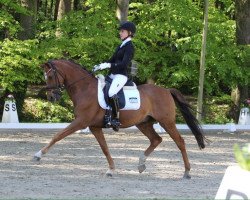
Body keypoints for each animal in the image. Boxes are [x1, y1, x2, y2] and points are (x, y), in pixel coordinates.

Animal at [34, 59, 207, 178]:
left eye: (50, 76)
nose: (51, 97)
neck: (84, 89)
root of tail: (166, 90)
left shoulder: (81, 122)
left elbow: (58, 136)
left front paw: (38, 155)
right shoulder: (94, 127)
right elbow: (104, 148)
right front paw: (111, 170)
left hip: (167, 122)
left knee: (180, 142)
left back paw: (187, 172)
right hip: (144, 123)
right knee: (156, 140)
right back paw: (141, 164)